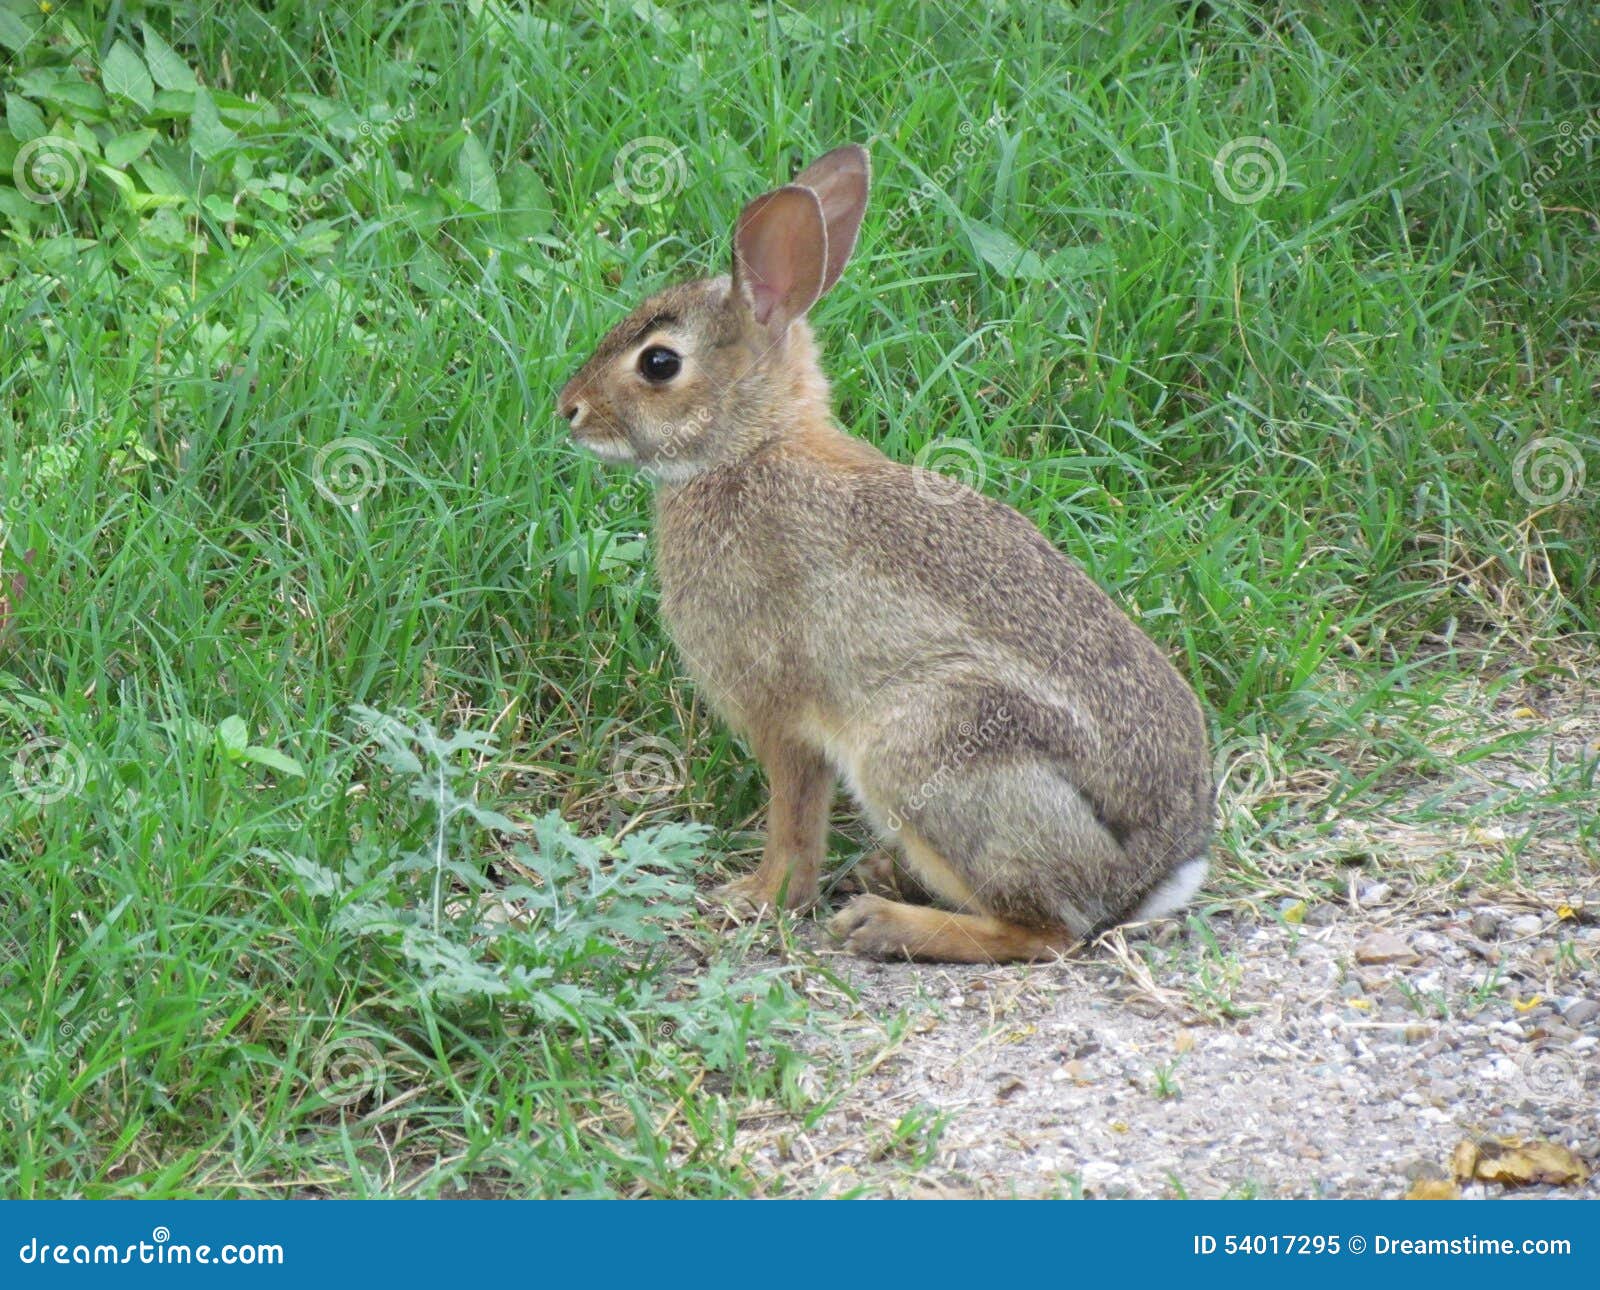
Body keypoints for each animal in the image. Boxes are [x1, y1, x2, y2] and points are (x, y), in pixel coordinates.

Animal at [556, 146, 1203, 966]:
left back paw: (883, 922)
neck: (748, 449)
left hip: (930, 748)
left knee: (1046, 932)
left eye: (660, 363)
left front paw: (756, 898)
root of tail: (1152, 875)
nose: (569, 410)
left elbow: (794, 820)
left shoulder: (781, 710)